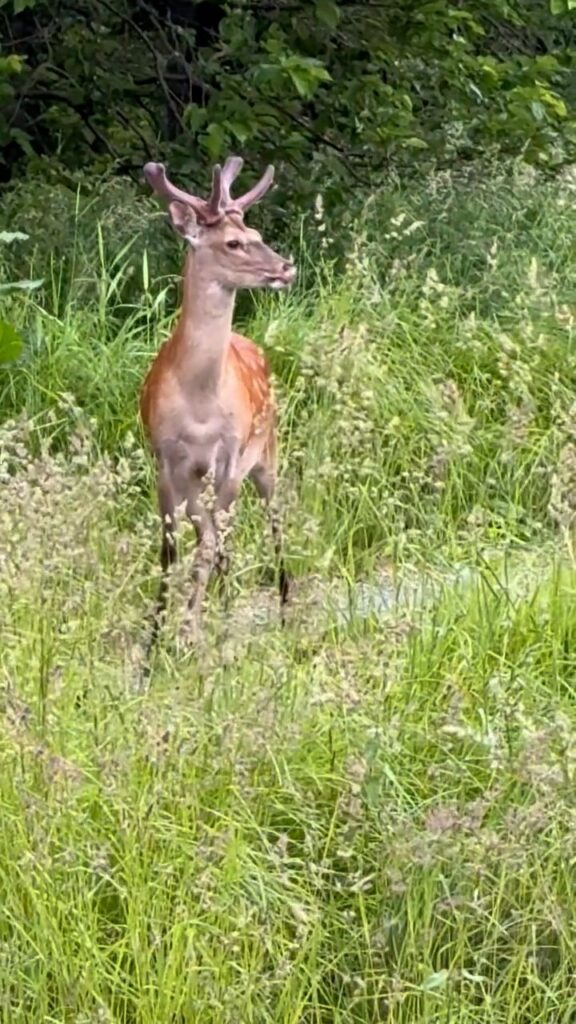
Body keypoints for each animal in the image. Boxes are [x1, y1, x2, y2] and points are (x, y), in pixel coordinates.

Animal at [139, 155, 296, 666]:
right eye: (233, 242)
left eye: (257, 232)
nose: (286, 267)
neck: (200, 403)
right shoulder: (167, 458)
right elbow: (172, 547)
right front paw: (153, 642)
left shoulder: (229, 454)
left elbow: (209, 543)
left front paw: (190, 634)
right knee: (219, 535)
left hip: (266, 454)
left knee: (270, 523)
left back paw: (282, 611)